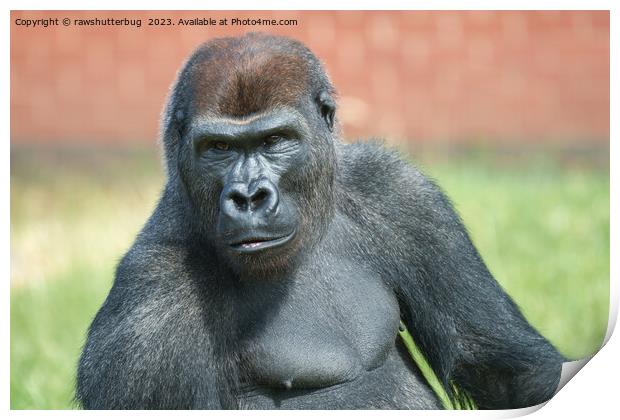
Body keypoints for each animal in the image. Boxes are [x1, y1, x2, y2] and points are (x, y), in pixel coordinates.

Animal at [75, 32, 564, 410]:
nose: (248, 197)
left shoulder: (401, 193)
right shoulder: (148, 315)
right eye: (219, 148)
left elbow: (497, 367)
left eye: (275, 141)